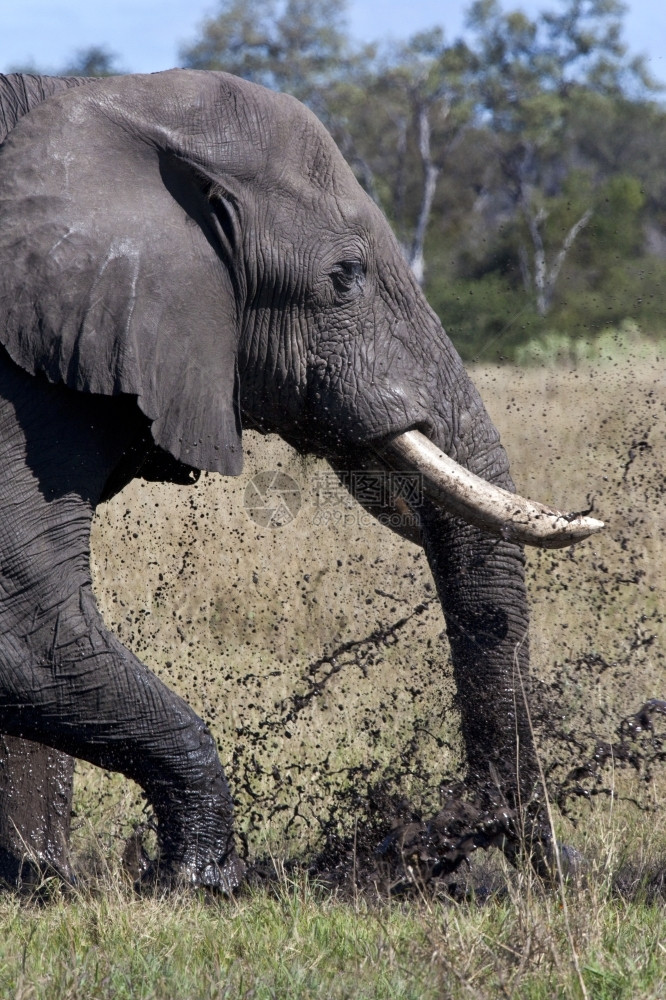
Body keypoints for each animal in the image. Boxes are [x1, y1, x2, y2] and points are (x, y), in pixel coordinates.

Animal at [0, 70, 600, 892]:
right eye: (343, 279)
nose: (455, 837)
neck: (113, 99)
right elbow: (25, 621)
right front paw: (195, 881)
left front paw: (43, 882)